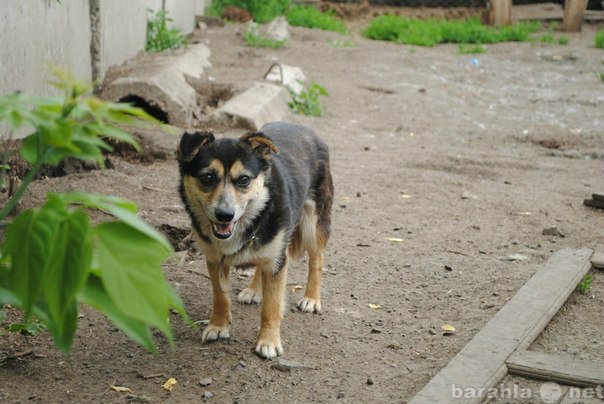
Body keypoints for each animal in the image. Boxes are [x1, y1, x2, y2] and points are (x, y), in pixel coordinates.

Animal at [177, 121, 332, 358]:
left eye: (244, 180)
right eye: (207, 178)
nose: (225, 215)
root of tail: (304, 127)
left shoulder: (278, 261)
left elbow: (271, 306)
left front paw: (268, 342)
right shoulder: (214, 259)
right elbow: (220, 296)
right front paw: (218, 326)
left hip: (312, 223)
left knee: (316, 260)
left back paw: (312, 299)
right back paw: (254, 289)